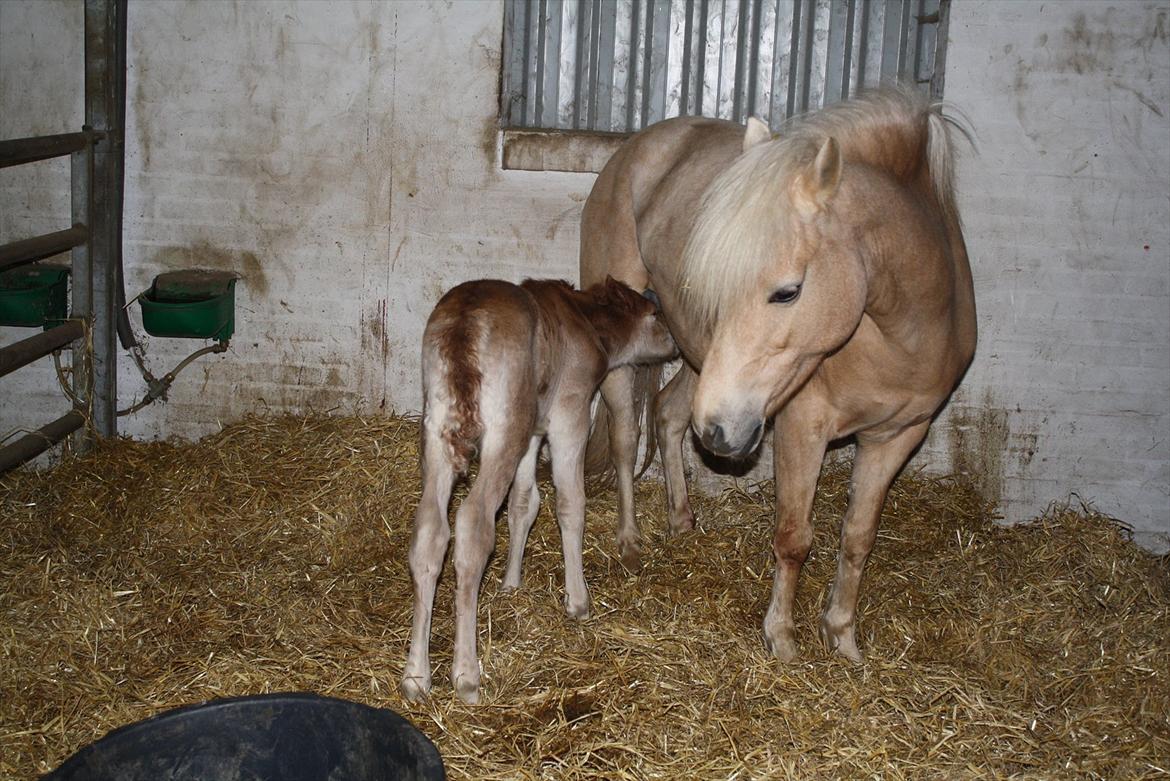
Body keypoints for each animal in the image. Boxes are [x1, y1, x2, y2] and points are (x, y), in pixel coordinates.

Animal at [402, 275, 678, 701]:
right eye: (656, 314)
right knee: (472, 525)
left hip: (438, 430)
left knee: (431, 530)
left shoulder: (534, 430)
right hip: (503, 432)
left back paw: (416, 676)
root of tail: (464, 324)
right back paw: (466, 674)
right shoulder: (569, 415)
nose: (676, 346)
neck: (586, 322)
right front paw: (578, 601)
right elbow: (570, 503)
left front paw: (510, 584)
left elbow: (523, 503)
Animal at [585, 91, 978, 664]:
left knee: (669, 414)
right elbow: (794, 537)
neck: (898, 332)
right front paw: (784, 642)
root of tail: (639, 146)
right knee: (624, 439)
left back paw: (681, 520)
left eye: (787, 292)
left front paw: (842, 638)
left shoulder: (898, 436)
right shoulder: (801, 428)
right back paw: (631, 542)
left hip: (701, 360)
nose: (720, 432)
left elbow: (858, 537)